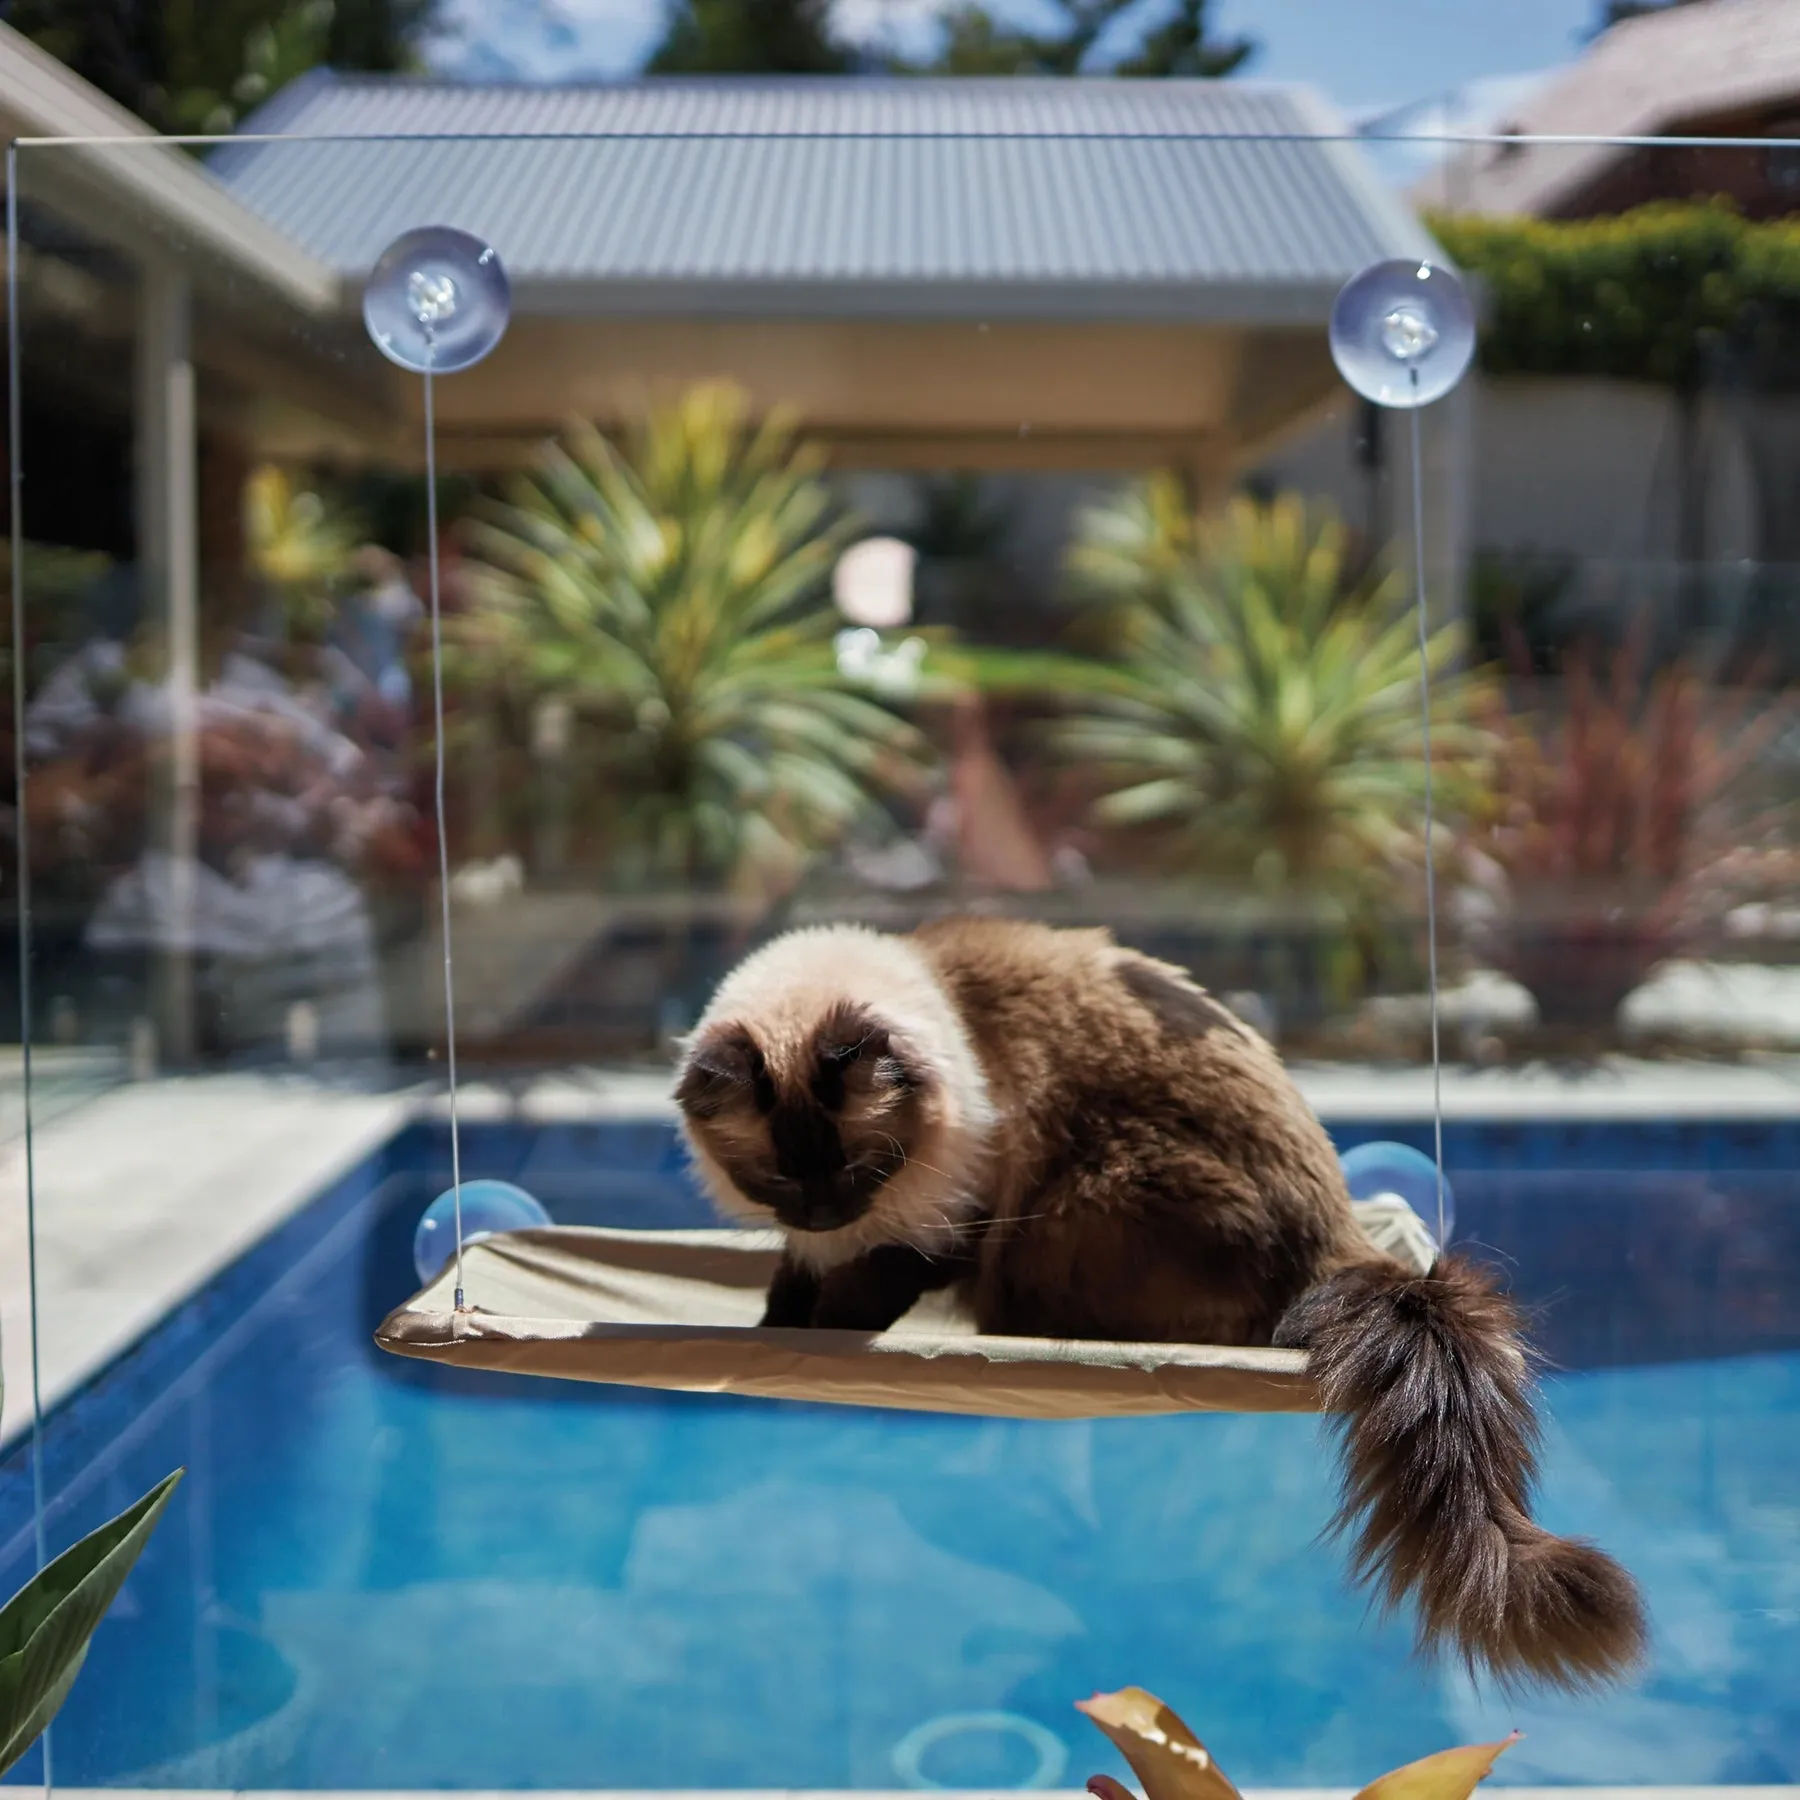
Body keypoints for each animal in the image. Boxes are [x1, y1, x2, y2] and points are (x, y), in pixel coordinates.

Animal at [673, 921, 1648, 1692]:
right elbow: (791, 1290)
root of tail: (1338, 1234)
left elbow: (860, 1293)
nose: (820, 1211)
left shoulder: (944, 1222)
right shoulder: (823, 1245)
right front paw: (772, 1335)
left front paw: (818, 1338)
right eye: (773, 1180)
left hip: (1077, 1206)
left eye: (857, 1169)